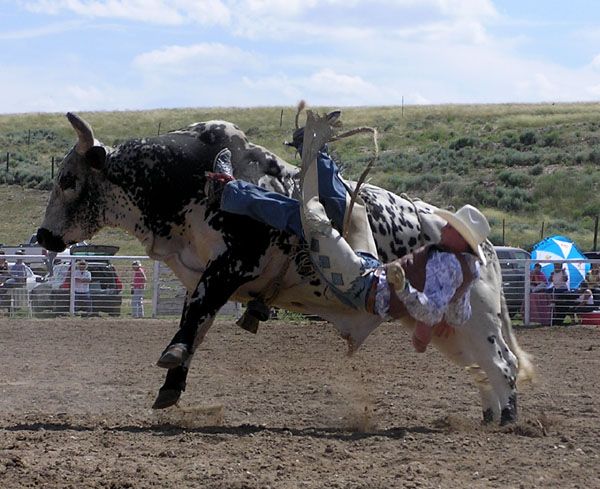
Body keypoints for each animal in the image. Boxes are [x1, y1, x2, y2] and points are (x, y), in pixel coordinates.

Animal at [37, 112, 536, 426]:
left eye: (69, 179)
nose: (43, 237)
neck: (191, 181)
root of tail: (481, 243)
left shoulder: (235, 262)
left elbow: (195, 314)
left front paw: (171, 357)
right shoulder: (209, 274)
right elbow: (196, 322)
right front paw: (171, 386)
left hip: (478, 317)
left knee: (502, 363)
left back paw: (510, 420)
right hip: (447, 327)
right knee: (482, 369)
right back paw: (490, 416)